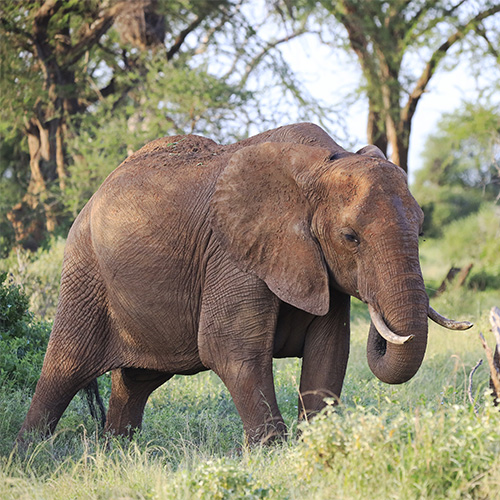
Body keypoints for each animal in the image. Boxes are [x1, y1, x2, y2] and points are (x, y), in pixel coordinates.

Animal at [16, 123, 472, 444]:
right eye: (350, 238)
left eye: (421, 229)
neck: (320, 163)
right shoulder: (233, 253)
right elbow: (230, 349)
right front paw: (275, 452)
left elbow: (329, 352)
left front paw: (317, 444)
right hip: (85, 270)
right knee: (65, 367)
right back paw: (31, 455)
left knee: (135, 382)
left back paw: (118, 451)